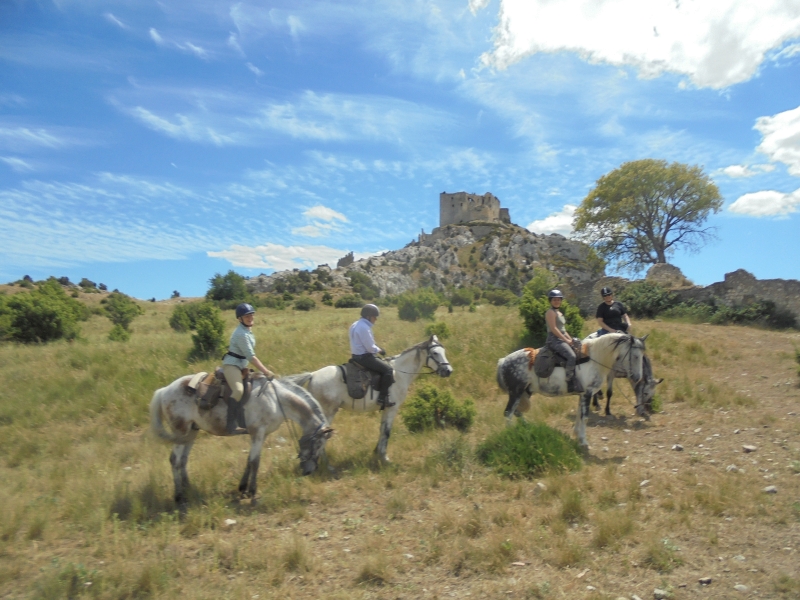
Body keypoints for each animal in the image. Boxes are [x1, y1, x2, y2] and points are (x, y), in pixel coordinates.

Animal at [151, 372, 334, 504]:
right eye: (319, 444)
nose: (309, 471)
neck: (275, 399)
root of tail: (164, 390)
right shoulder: (258, 432)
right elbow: (255, 462)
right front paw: (252, 491)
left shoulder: (261, 434)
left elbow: (249, 460)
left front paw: (243, 488)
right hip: (181, 432)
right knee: (175, 460)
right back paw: (179, 496)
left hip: (191, 433)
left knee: (183, 460)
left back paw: (189, 489)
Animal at [286, 336, 450, 462]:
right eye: (435, 353)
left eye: (444, 351)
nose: (448, 371)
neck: (399, 373)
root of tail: (313, 375)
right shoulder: (392, 408)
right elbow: (387, 431)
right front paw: (385, 458)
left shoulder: (386, 408)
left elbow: (382, 429)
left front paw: (377, 453)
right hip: (327, 411)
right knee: (321, 433)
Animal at [496, 332, 648, 450]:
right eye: (635, 356)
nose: (637, 378)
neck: (594, 358)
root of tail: (503, 361)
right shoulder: (587, 394)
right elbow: (585, 417)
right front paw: (584, 441)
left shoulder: (583, 395)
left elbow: (579, 415)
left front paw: (577, 435)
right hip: (515, 393)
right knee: (508, 413)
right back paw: (511, 435)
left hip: (525, 392)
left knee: (517, 412)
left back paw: (527, 428)